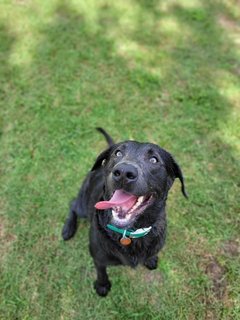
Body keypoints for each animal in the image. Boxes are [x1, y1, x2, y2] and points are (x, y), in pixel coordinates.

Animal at [62, 126, 188, 296]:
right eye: (118, 153)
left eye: (154, 159)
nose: (123, 172)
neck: (129, 233)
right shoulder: (98, 257)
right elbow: (101, 271)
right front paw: (102, 285)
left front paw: (151, 259)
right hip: (83, 205)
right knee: (73, 204)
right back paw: (68, 229)